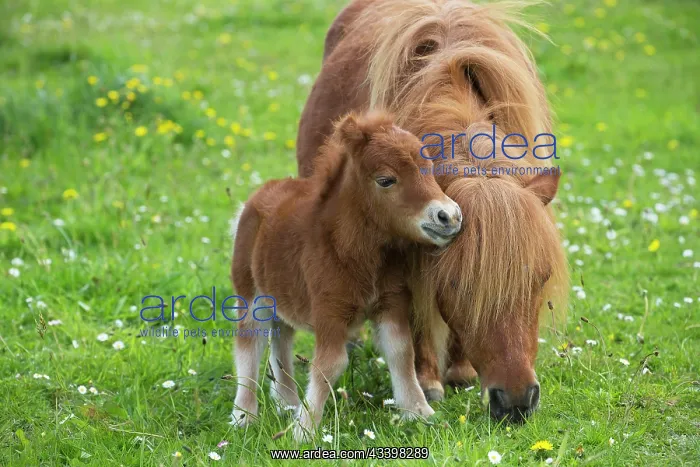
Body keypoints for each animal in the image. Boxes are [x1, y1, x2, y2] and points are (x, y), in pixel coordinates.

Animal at [230, 111, 462, 440]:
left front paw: (419, 412)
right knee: (249, 343)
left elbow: (401, 352)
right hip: (251, 295)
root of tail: (253, 199)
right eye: (386, 180)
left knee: (281, 336)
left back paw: (287, 403)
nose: (449, 217)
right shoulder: (330, 309)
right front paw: (305, 430)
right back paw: (244, 416)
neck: (353, 251)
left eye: (428, 169)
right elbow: (330, 364)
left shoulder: (391, 302)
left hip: (280, 295)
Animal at [296, 0, 568, 422]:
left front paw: (461, 371)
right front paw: (426, 381)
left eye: (540, 280)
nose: (517, 401)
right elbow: (416, 318)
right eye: (456, 284)